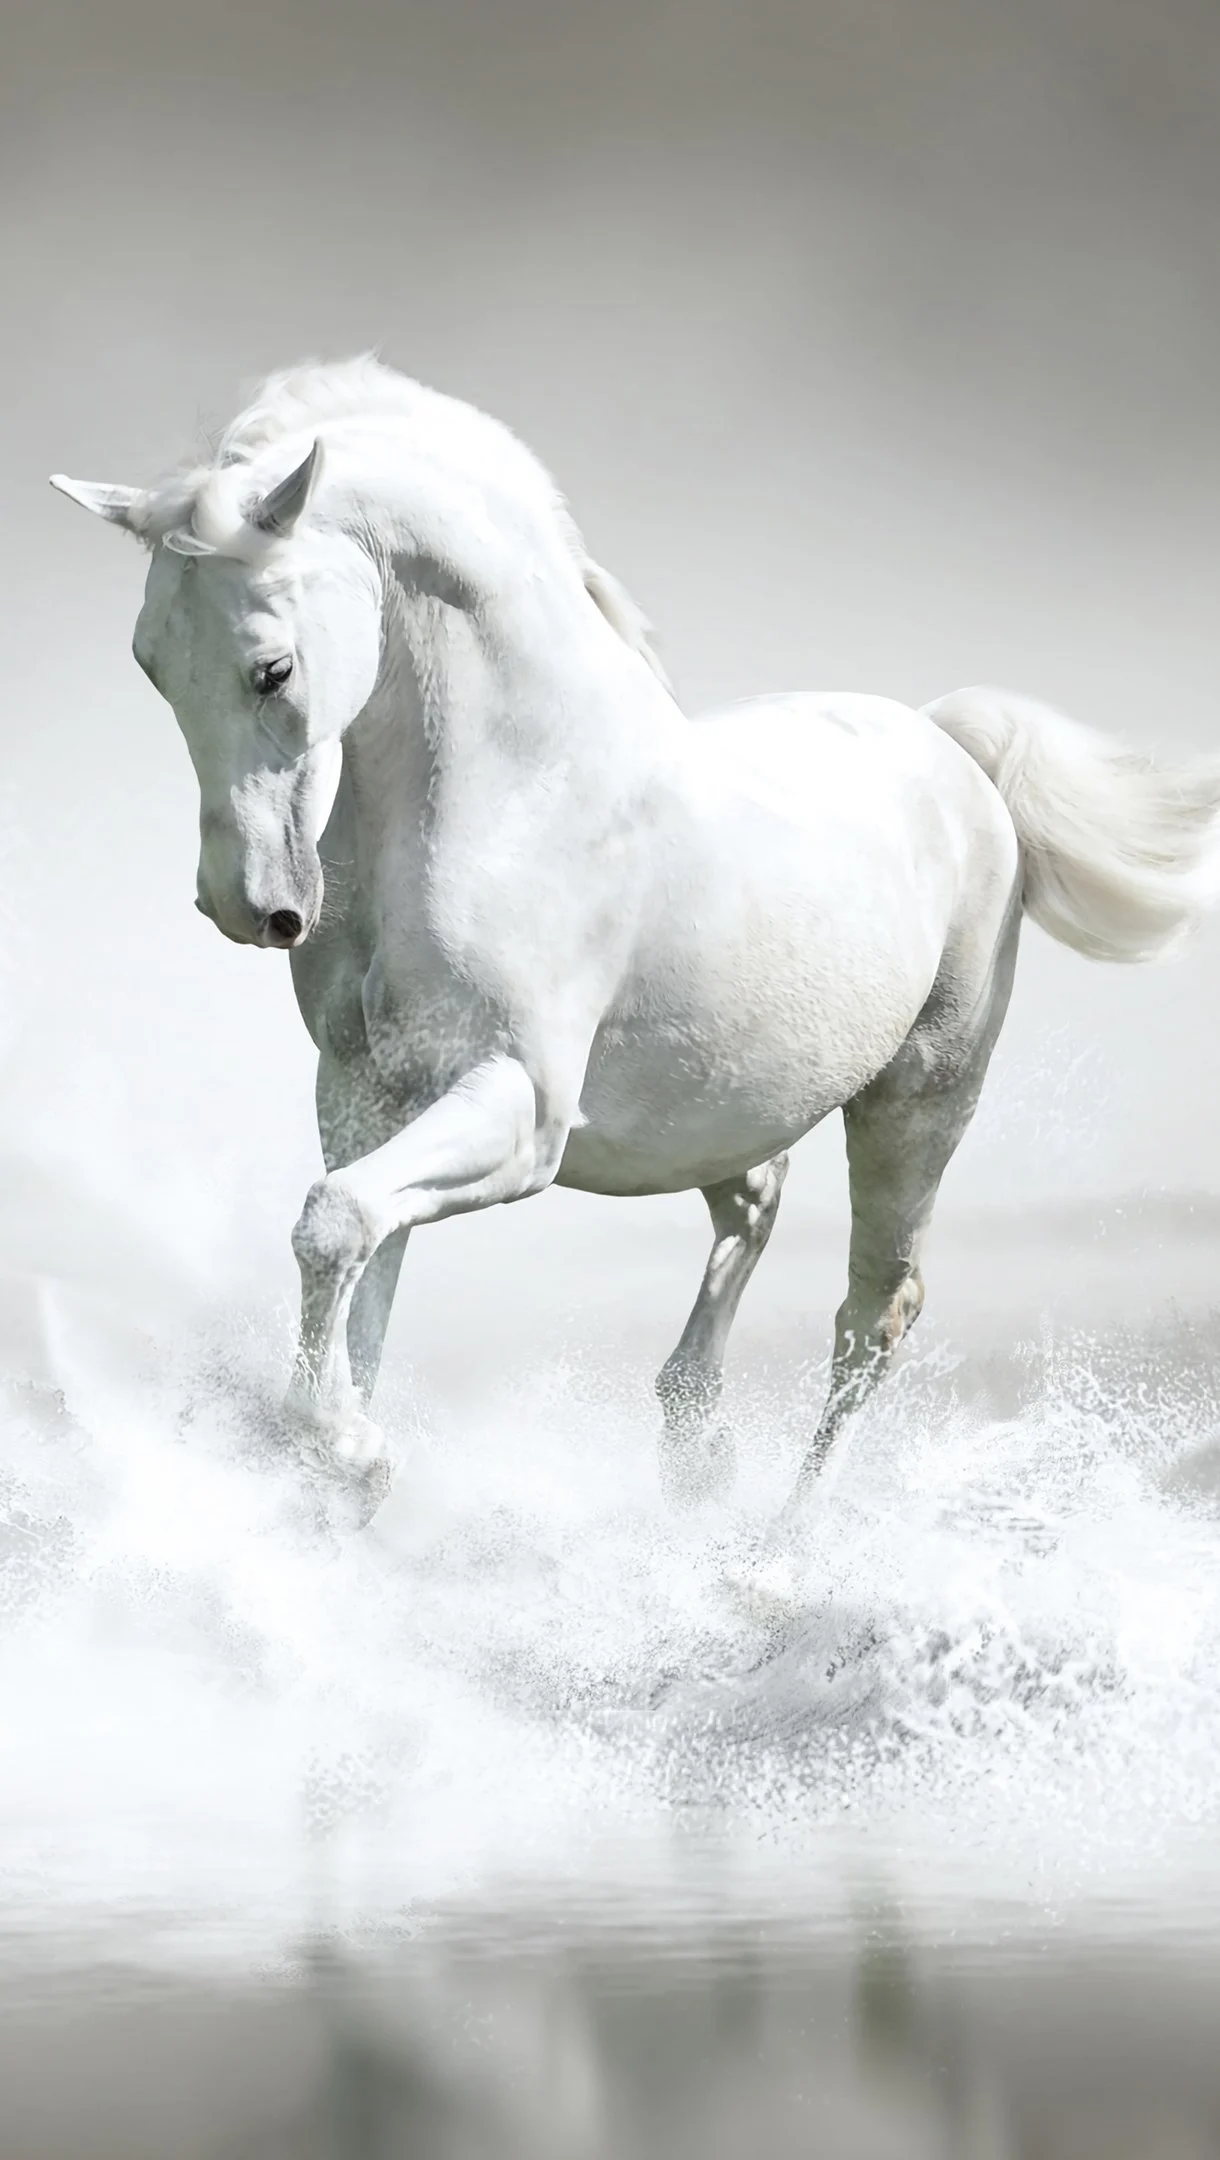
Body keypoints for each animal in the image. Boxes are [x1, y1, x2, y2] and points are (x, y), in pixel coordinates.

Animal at [52, 357, 1220, 1519]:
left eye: (272, 670)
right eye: (152, 664)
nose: (248, 908)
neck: (513, 794)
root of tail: (949, 747)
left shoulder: (520, 1110)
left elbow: (336, 1224)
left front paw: (352, 1452)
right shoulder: (364, 1094)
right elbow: (357, 1263)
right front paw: (340, 1458)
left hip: (919, 1102)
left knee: (872, 1317)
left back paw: (783, 1542)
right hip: (724, 1102)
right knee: (755, 1205)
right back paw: (696, 1450)